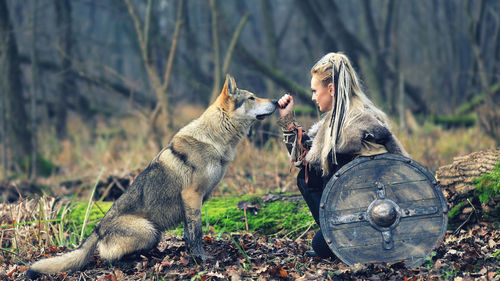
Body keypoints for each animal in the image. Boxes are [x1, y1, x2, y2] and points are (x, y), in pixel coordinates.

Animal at [27, 74, 280, 278]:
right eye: (252, 98)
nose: (277, 102)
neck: (215, 139)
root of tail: (98, 228)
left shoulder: (192, 201)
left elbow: (188, 234)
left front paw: (192, 255)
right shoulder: (192, 196)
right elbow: (196, 233)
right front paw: (201, 259)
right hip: (149, 230)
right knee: (107, 256)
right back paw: (131, 262)